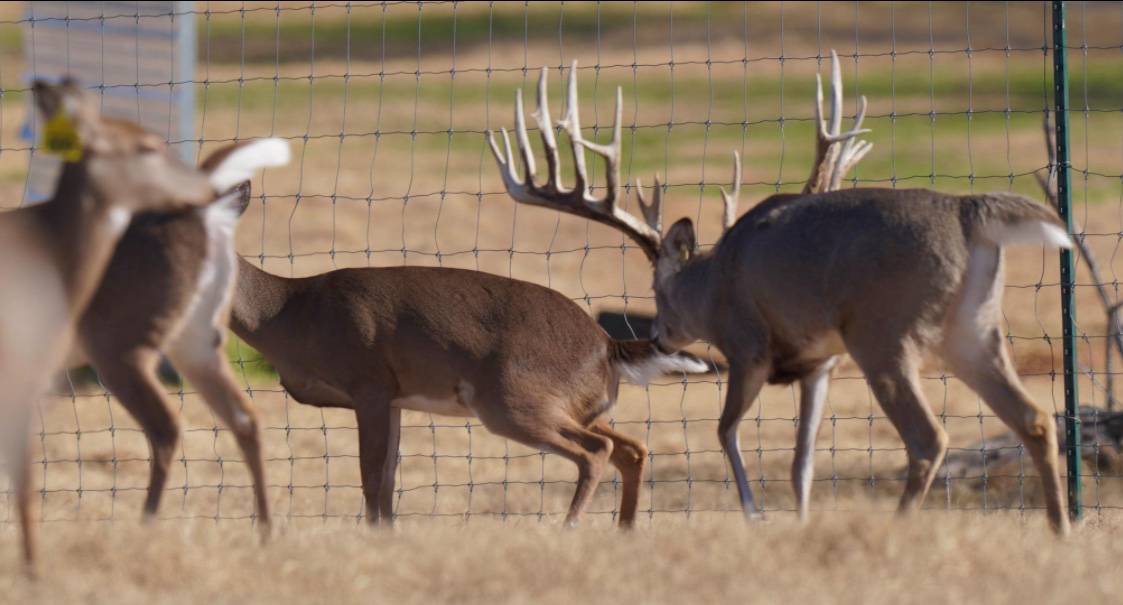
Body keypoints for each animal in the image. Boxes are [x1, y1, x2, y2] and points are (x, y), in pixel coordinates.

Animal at [0, 78, 277, 569]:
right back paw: (264, 535)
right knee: (245, 418)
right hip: (197, 339)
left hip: (122, 343)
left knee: (165, 426)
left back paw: (143, 530)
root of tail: (212, 215)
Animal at [487, 53, 1073, 535]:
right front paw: (800, 518)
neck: (716, 278)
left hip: (884, 332)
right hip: (974, 327)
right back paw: (1060, 529)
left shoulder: (747, 345)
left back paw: (902, 526)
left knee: (930, 438)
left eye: (658, 289)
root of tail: (968, 212)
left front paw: (755, 514)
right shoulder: (820, 363)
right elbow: (801, 460)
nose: (657, 335)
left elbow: (726, 430)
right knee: (1036, 418)